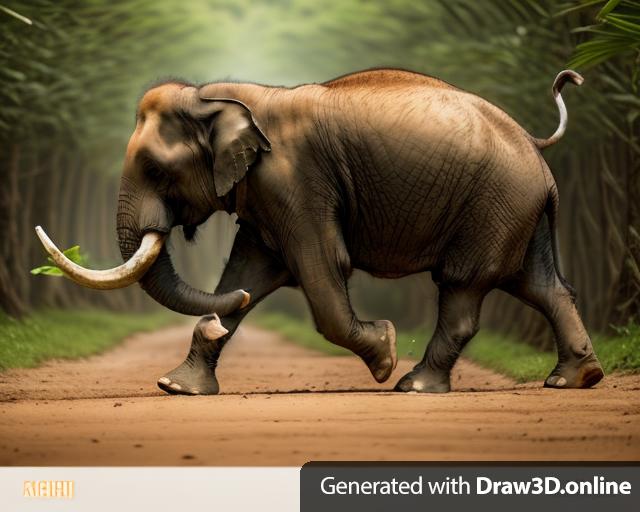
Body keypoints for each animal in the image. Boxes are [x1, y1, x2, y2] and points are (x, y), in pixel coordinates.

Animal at [37, 67, 604, 395]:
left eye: (156, 170)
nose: (217, 321)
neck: (217, 97)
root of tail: (533, 140)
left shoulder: (295, 180)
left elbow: (321, 264)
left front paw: (384, 352)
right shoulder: (265, 192)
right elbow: (250, 270)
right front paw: (178, 387)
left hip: (494, 204)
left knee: (465, 286)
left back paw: (412, 386)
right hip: (518, 207)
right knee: (542, 286)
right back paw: (574, 379)